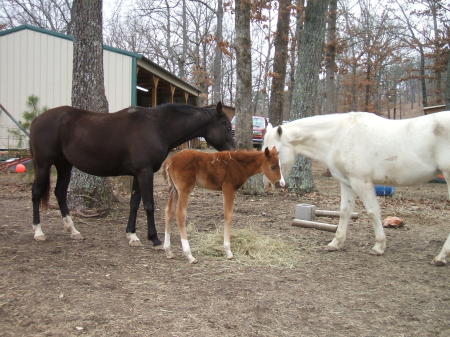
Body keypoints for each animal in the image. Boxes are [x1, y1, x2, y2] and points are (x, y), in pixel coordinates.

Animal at [29, 101, 234, 245]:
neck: (158, 126)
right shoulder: (145, 172)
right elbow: (149, 204)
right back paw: (38, 232)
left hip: (64, 165)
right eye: (225, 123)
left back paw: (73, 231)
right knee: (36, 193)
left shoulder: (138, 174)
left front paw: (132, 235)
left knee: (60, 193)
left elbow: (134, 203)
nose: (232, 150)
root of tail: (37, 119)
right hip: (44, 165)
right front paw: (154, 238)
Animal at [264, 111, 450, 266]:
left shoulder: (361, 182)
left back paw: (440, 257)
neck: (340, 136)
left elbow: (373, 211)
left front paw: (379, 247)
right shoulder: (347, 182)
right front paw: (335, 243)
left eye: (276, 152)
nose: (269, 184)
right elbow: (345, 211)